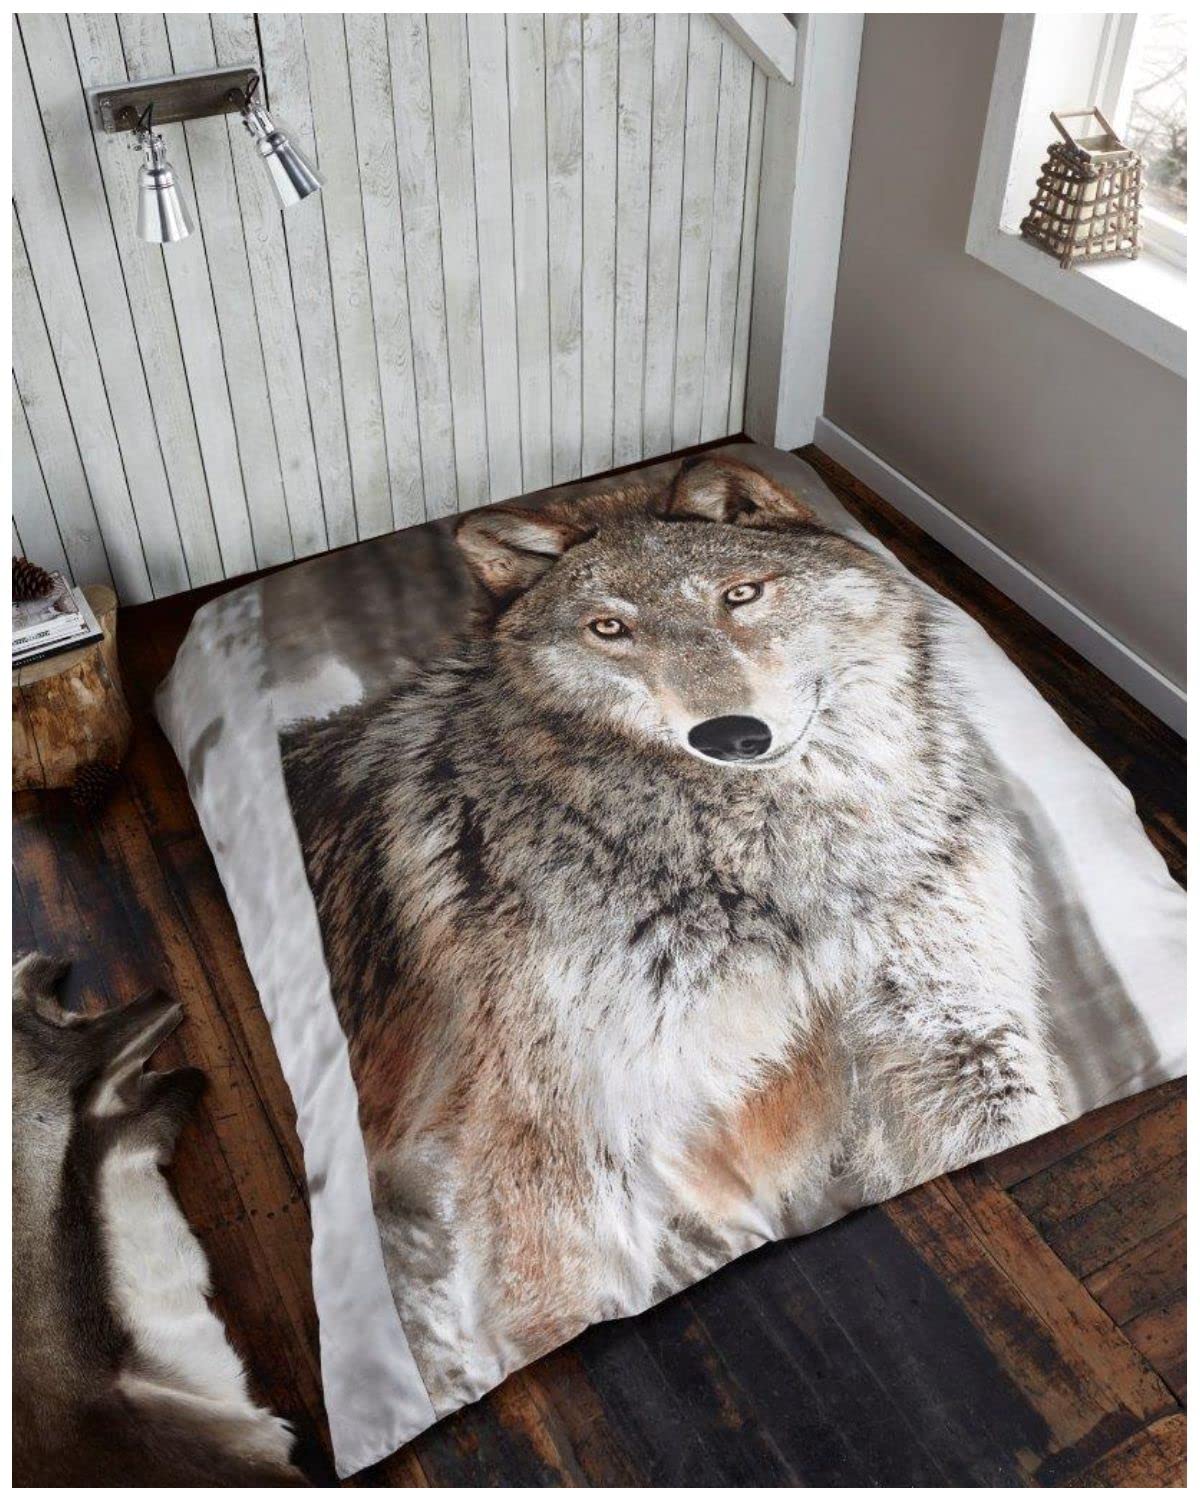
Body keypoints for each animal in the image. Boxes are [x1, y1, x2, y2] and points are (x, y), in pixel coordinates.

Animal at [282, 456, 1063, 1409]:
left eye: (742, 594)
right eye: (611, 629)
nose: (731, 734)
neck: (783, 874)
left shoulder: (958, 1038)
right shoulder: (562, 1135)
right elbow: (569, 1304)